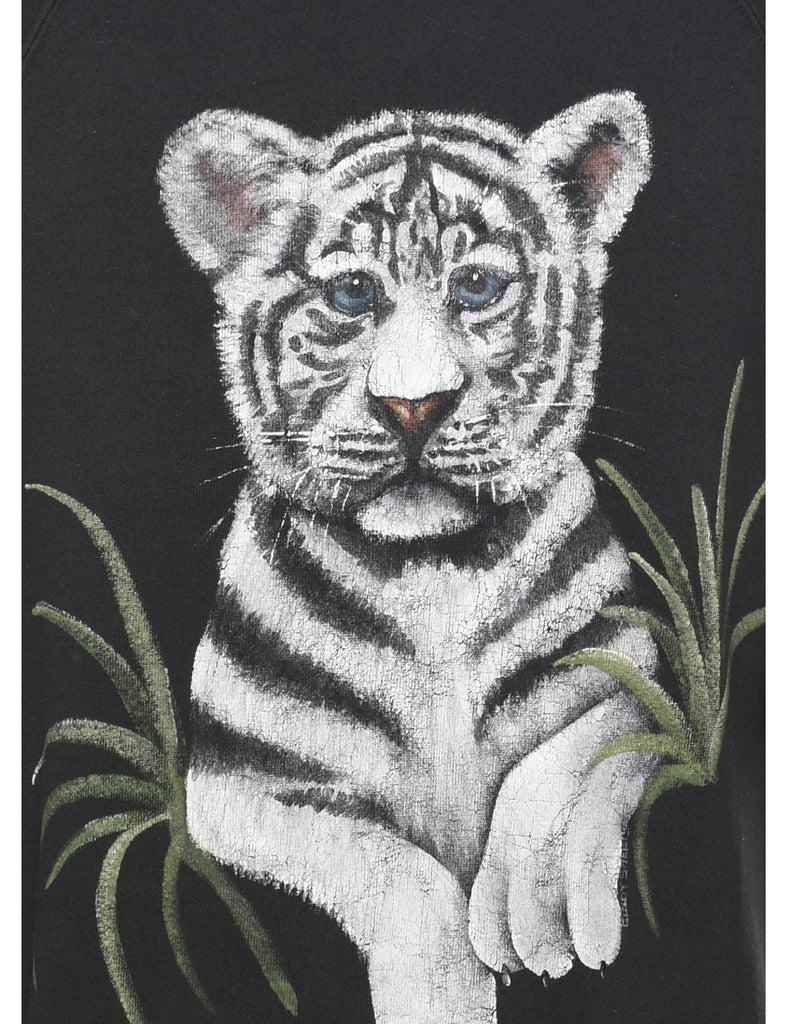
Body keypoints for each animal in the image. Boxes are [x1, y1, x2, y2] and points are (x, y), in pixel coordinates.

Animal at [158, 91, 658, 1024]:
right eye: (353, 293)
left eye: (477, 287)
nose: (414, 406)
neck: (431, 575)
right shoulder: (245, 785)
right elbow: (402, 875)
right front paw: (444, 994)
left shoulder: (636, 671)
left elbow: (567, 760)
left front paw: (536, 913)